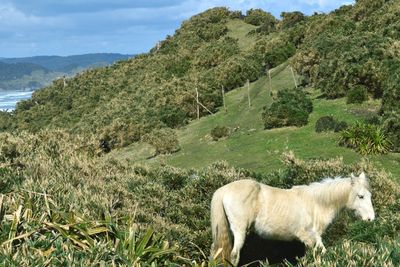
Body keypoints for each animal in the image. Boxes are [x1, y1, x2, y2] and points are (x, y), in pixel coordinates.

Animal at [211, 173, 376, 266]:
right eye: (361, 196)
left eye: (370, 195)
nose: (370, 219)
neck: (317, 203)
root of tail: (223, 190)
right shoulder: (310, 238)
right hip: (239, 231)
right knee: (234, 255)